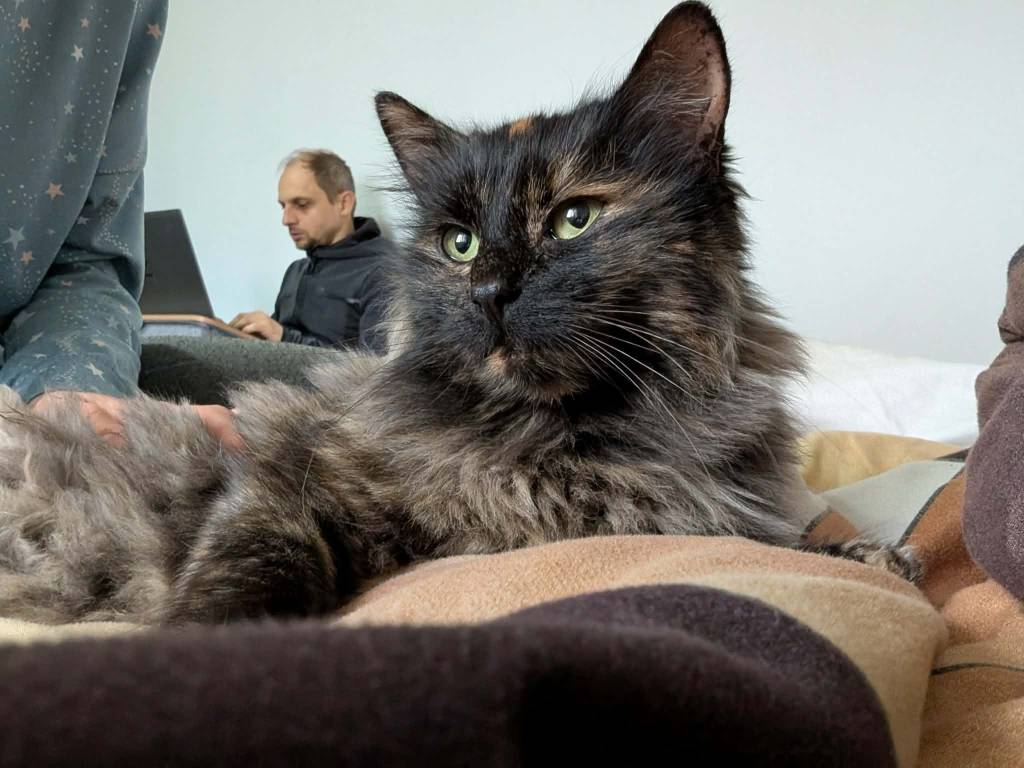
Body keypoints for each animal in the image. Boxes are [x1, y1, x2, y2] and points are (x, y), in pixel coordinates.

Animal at [0, 1, 917, 625]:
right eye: (460, 243)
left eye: (574, 219)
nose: (489, 293)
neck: (553, 445)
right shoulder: (281, 482)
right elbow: (251, 566)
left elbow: (780, 545)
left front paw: (871, 556)